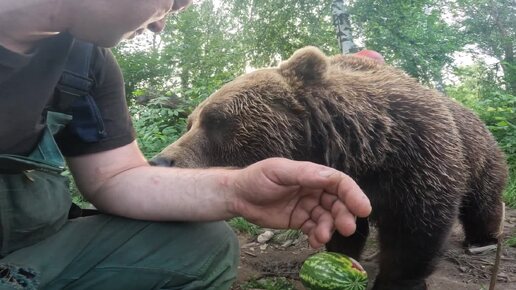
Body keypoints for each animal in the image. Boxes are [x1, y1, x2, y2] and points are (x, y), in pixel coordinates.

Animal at [150, 46, 508, 290]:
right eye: (191, 122)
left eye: (216, 120)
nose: (161, 160)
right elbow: (346, 227)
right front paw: (341, 252)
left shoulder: (417, 158)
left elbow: (416, 229)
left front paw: (395, 280)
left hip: (480, 156)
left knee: (483, 201)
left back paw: (483, 239)